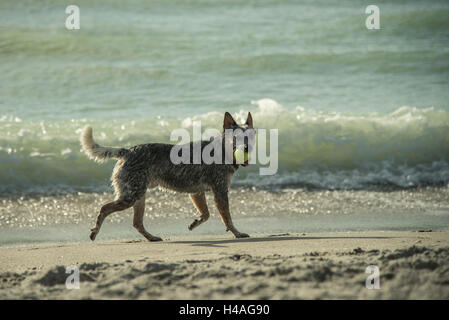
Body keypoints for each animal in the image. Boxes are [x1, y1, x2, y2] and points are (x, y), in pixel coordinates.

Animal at [80, 112, 254, 240]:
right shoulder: (220, 192)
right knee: (104, 208)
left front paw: (194, 223)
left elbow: (205, 214)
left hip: (139, 197)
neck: (222, 150)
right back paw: (95, 231)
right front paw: (237, 233)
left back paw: (151, 237)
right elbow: (227, 217)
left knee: (137, 223)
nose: (246, 148)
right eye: (236, 138)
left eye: (251, 137)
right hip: (130, 197)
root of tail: (127, 151)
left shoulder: (196, 192)